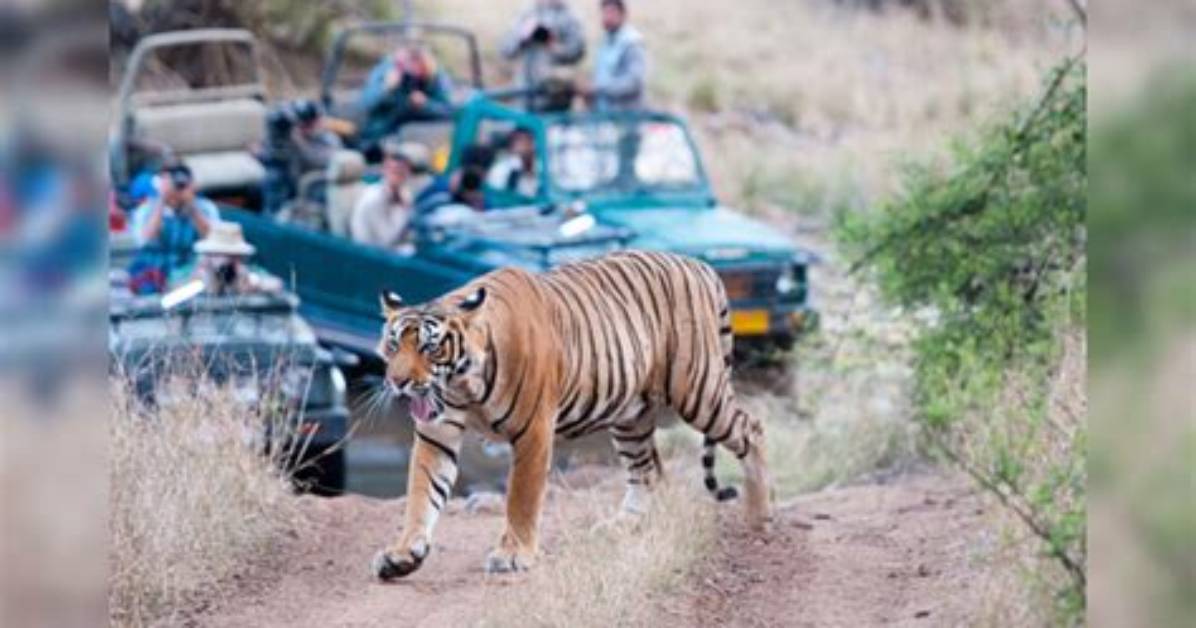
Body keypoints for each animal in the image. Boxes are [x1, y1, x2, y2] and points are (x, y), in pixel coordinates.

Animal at [370, 250, 772, 580]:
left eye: (429, 348)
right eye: (393, 345)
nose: (398, 382)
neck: (463, 385)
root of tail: (699, 265)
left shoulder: (533, 431)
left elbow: (521, 497)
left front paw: (513, 555)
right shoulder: (436, 432)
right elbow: (422, 493)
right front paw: (403, 554)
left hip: (698, 391)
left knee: (752, 430)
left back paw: (760, 517)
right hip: (631, 415)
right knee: (647, 470)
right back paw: (622, 526)